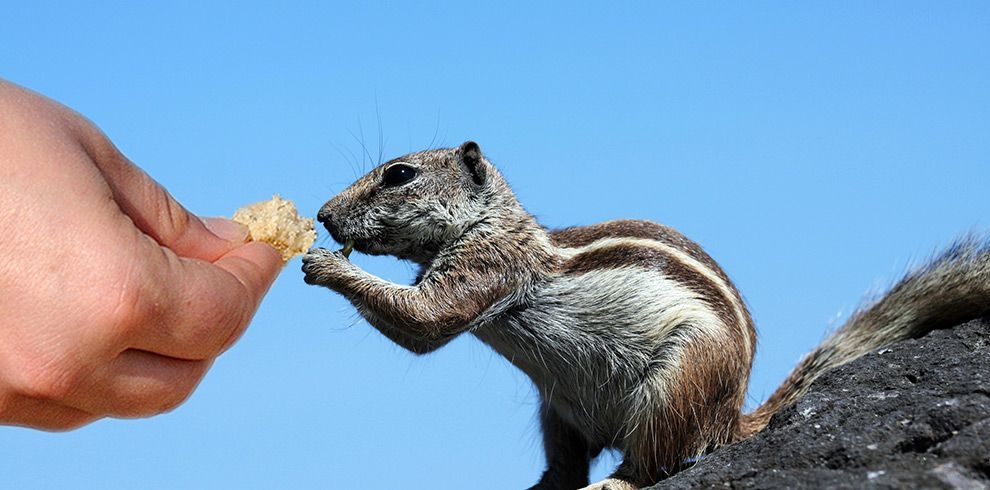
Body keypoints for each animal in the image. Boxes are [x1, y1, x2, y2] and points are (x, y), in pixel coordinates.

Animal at [302, 140, 990, 488]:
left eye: (399, 174)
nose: (324, 216)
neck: (491, 221)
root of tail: (730, 419)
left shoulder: (488, 267)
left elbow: (428, 321)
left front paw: (324, 265)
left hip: (676, 385)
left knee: (656, 459)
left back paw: (619, 481)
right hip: (557, 411)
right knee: (569, 464)